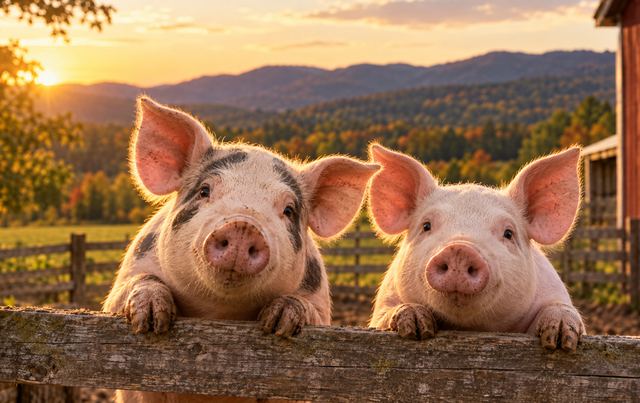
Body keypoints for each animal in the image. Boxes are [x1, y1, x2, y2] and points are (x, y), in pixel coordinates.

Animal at [103, 97, 379, 403]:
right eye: (205, 190)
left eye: (289, 210)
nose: (243, 226)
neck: (219, 316)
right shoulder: (124, 282)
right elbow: (129, 290)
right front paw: (152, 319)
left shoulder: (321, 309)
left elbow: (306, 311)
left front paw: (279, 322)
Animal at [368, 144, 585, 352]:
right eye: (426, 226)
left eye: (508, 233)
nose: (459, 249)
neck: (470, 327)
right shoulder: (383, 305)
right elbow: (386, 316)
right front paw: (415, 323)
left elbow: (561, 310)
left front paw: (560, 339)